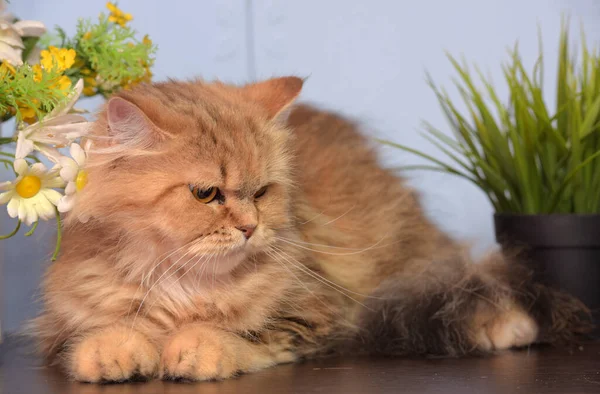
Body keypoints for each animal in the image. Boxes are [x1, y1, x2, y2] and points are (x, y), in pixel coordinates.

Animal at [31, 76, 592, 382]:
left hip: (410, 269)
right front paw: (116, 353)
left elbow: (239, 336)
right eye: (206, 194)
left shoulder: (316, 313)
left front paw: (192, 348)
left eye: (261, 192)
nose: (250, 228)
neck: (183, 286)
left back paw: (511, 327)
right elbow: (99, 335)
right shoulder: (65, 323)